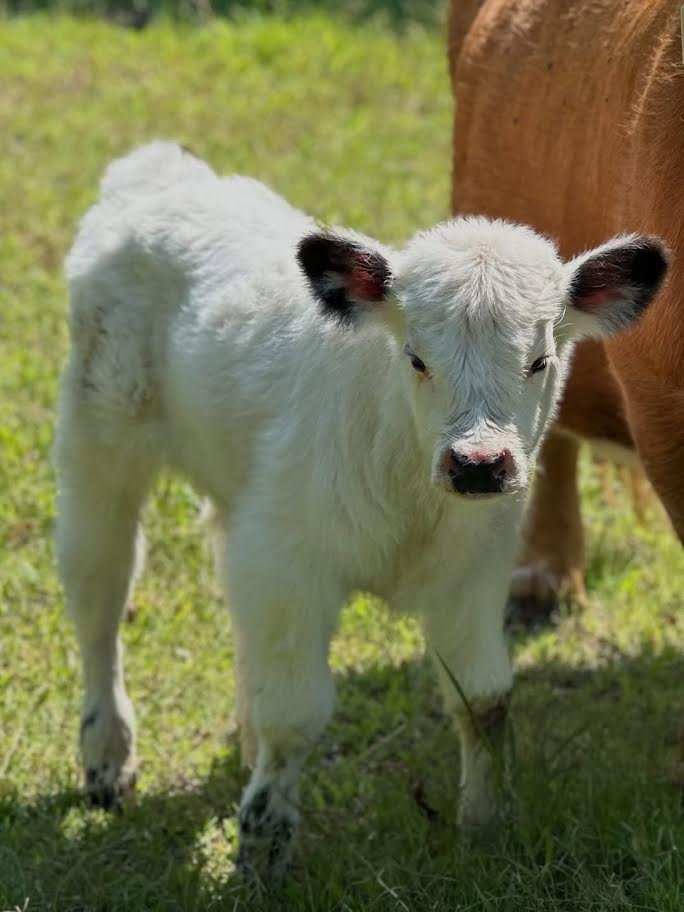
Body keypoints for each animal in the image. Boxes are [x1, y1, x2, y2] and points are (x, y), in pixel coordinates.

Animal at [55, 142, 666, 875]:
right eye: (416, 358)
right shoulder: (292, 565)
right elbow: (296, 709)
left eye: (540, 360)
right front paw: (263, 847)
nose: (478, 464)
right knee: (99, 596)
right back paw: (107, 759)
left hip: (240, 500)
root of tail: (156, 173)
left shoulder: (474, 571)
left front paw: (486, 827)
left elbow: (484, 697)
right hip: (100, 436)